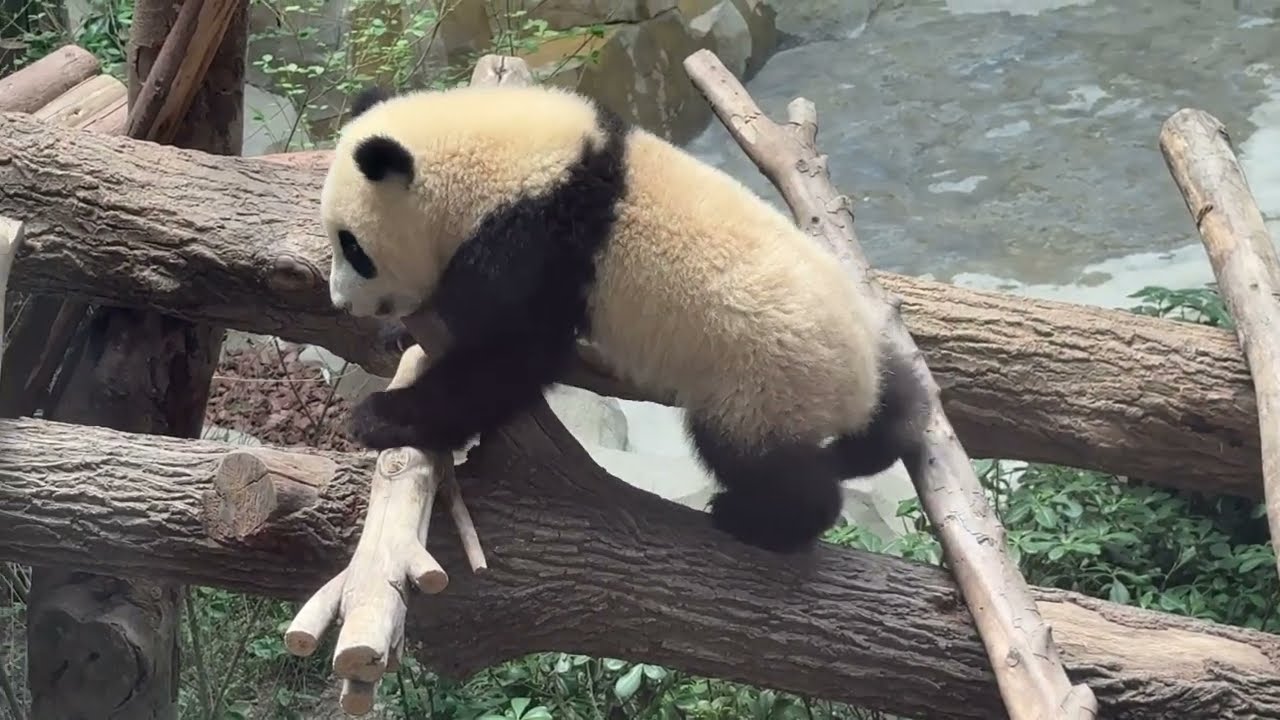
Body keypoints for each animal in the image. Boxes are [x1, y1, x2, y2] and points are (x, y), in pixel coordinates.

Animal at [321, 82, 928, 554]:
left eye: (353, 248)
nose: (341, 304)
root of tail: (857, 386)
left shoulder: (537, 242)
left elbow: (507, 356)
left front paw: (381, 415)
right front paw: (398, 336)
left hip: (760, 378)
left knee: (756, 457)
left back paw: (756, 518)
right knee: (895, 406)